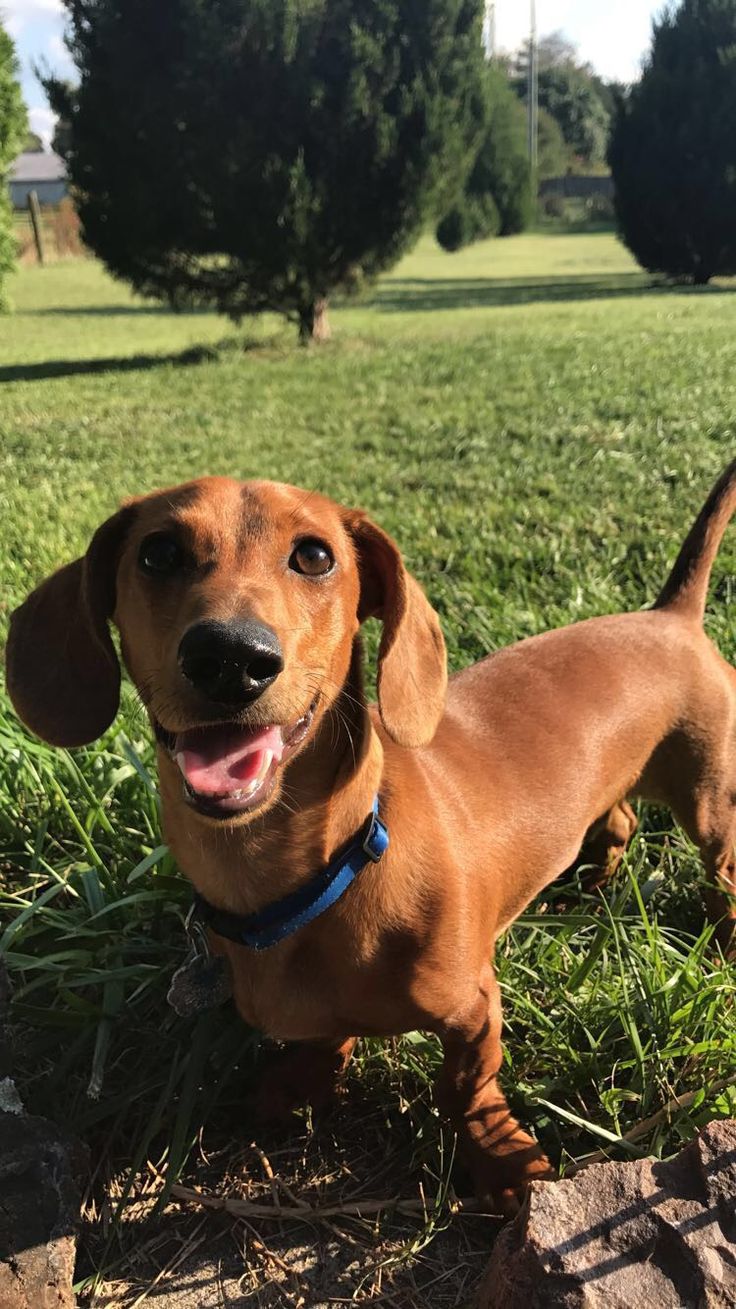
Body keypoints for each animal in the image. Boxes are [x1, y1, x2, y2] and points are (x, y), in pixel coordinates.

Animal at [5, 455, 733, 1209]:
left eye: (315, 556)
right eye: (158, 553)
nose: (231, 656)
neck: (314, 880)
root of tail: (668, 615)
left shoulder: (475, 1009)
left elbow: (466, 1088)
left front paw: (499, 1158)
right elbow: (325, 1041)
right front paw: (302, 1082)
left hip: (709, 797)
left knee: (718, 868)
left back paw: (721, 934)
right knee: (619, 818)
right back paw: (590, 886)